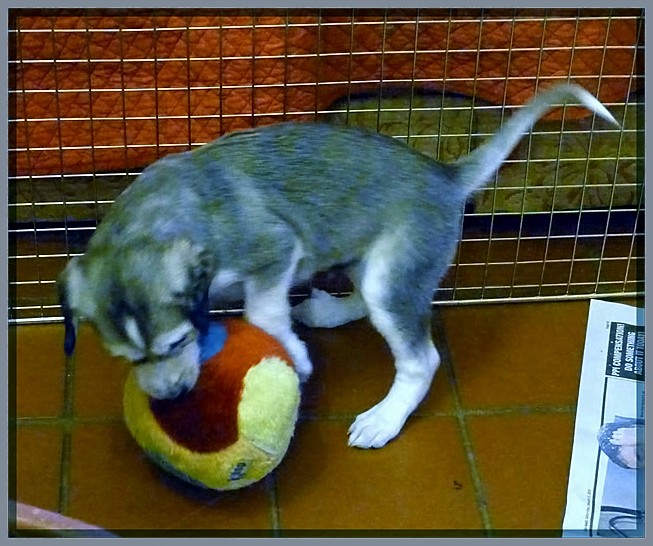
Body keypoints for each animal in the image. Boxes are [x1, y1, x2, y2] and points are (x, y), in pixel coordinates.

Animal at [58, 82, 612, 446]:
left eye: (176, 343)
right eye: (127, 359)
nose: (171, 398)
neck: (153, 219)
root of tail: (445, 175)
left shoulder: (276, 250)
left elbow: (263, 314)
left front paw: (295, 358)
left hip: (394, 279)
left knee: (420, 358)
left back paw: (384, 420)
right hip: (372, 263)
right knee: (363, 301)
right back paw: (326, 312)